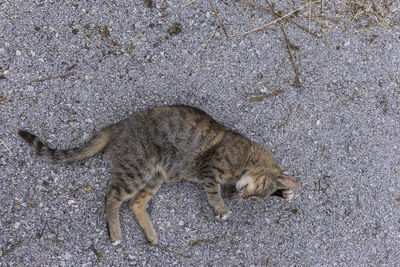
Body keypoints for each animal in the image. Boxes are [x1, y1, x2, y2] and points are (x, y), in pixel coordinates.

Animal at [18, 105, 300, 246]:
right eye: (258, 191)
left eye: (256, 198)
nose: (247, 197)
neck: (248, 155)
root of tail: (119, 125)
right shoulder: (209, 168)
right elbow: (213, 191)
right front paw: (221, 208)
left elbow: (225, 189)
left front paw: (282, 193)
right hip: (136, 171)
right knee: (112, 197)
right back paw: (116, 233)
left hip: (154, 177)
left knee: (135, 203)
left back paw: (150, 234)